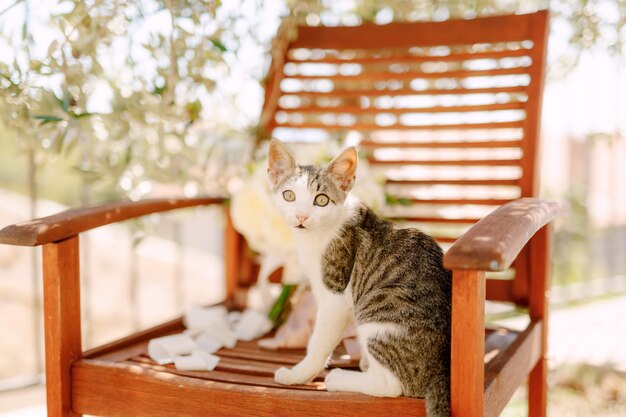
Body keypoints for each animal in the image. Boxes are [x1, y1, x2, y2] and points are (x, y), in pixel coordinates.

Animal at [266, 138, 450, 414]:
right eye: (289, 196)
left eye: (321, 200)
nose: (301, 216)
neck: (320, 234)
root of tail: (442, 368)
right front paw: (362, 360)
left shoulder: (335, 296)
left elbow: (319, 342)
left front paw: (298, 374)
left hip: (378, 312)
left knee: (390, 386)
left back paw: (340, 378)